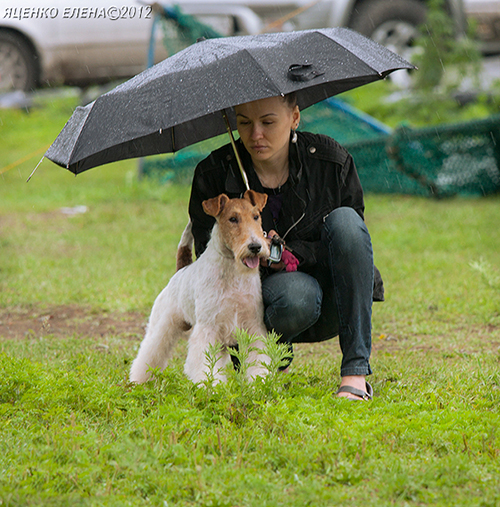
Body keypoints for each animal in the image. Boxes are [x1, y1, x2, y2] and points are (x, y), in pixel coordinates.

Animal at [129, 190, 270, 384]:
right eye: (233, 219)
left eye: (256, 216)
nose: (255, 246)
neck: (233, 270)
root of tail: (180, 270)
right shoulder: (208, 327)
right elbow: (204, 363)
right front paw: (210, 386)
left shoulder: (253, 325)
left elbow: (258, 359)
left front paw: (259, 382)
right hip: (161, 324)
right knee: (149, 351)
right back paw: (138, 379)